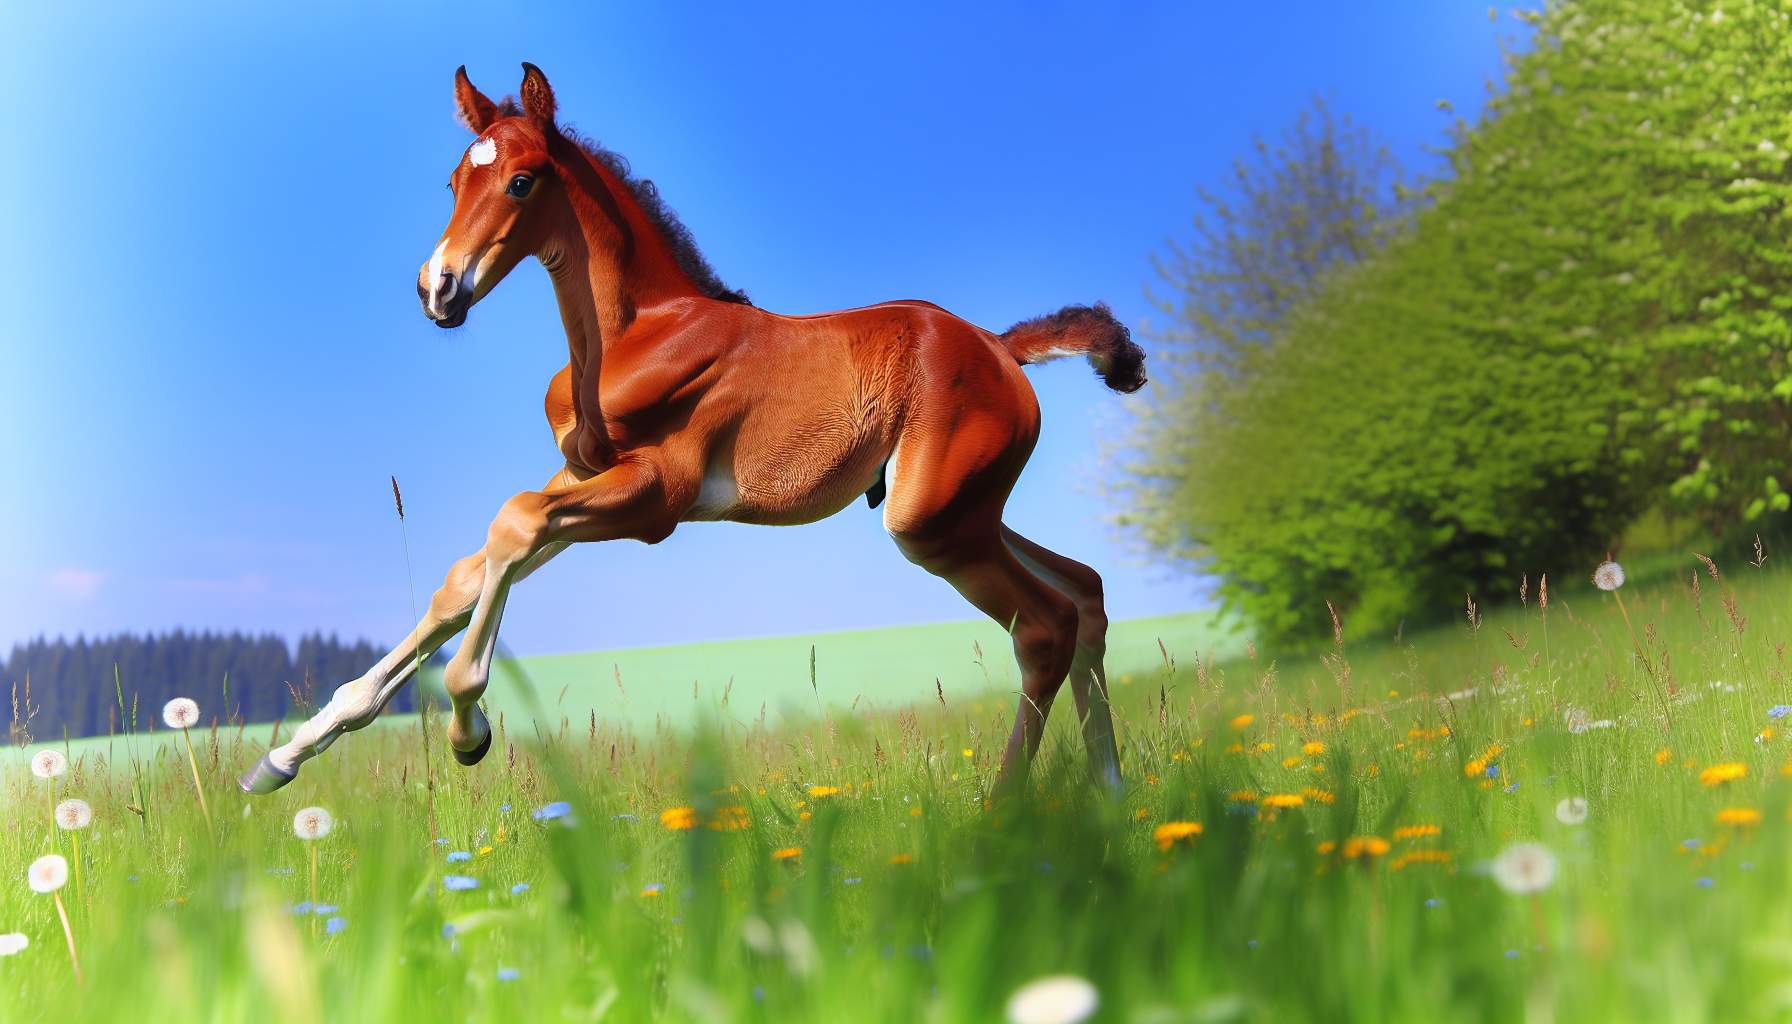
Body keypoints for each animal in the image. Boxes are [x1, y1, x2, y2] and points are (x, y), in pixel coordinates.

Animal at [239, 63, 1146, 798]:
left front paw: (469, 727)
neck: (640, 332)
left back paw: (1004, 816)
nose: (440, 288)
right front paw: (286, 755)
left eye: (523, 182)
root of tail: (1001, 346)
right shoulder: (584, 477)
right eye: (456, 177)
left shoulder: (656, 499)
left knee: (1043, 626)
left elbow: (513, 522)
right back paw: (1109, 794)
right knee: (1086, 593)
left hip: (931, 522)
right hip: (966, 509)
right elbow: (470, 573)